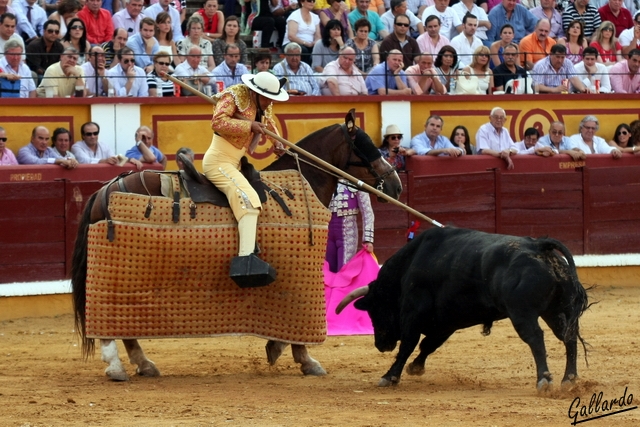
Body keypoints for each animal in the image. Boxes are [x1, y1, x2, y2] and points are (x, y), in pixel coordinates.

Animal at [72, 110, 402, 382]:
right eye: (367, 146)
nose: (396, 184)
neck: (303, 180)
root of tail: (105, 189)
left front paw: (281, 351)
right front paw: (303, 358)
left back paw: (144, 365)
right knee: (107, 317)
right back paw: (117, 367)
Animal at [338, 227, 588, 392]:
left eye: (374, 310)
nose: (380, 345)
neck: (409, 266)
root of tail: (539, 245)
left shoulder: (413, 314)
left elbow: (408, 344)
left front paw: (390, 376)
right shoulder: (446, 321)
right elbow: (429, 344)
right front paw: (416, 367)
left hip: (522, 313)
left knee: (536, 338)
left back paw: (544, 380)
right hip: (557, 311)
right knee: (569, 338)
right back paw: (569, 379)